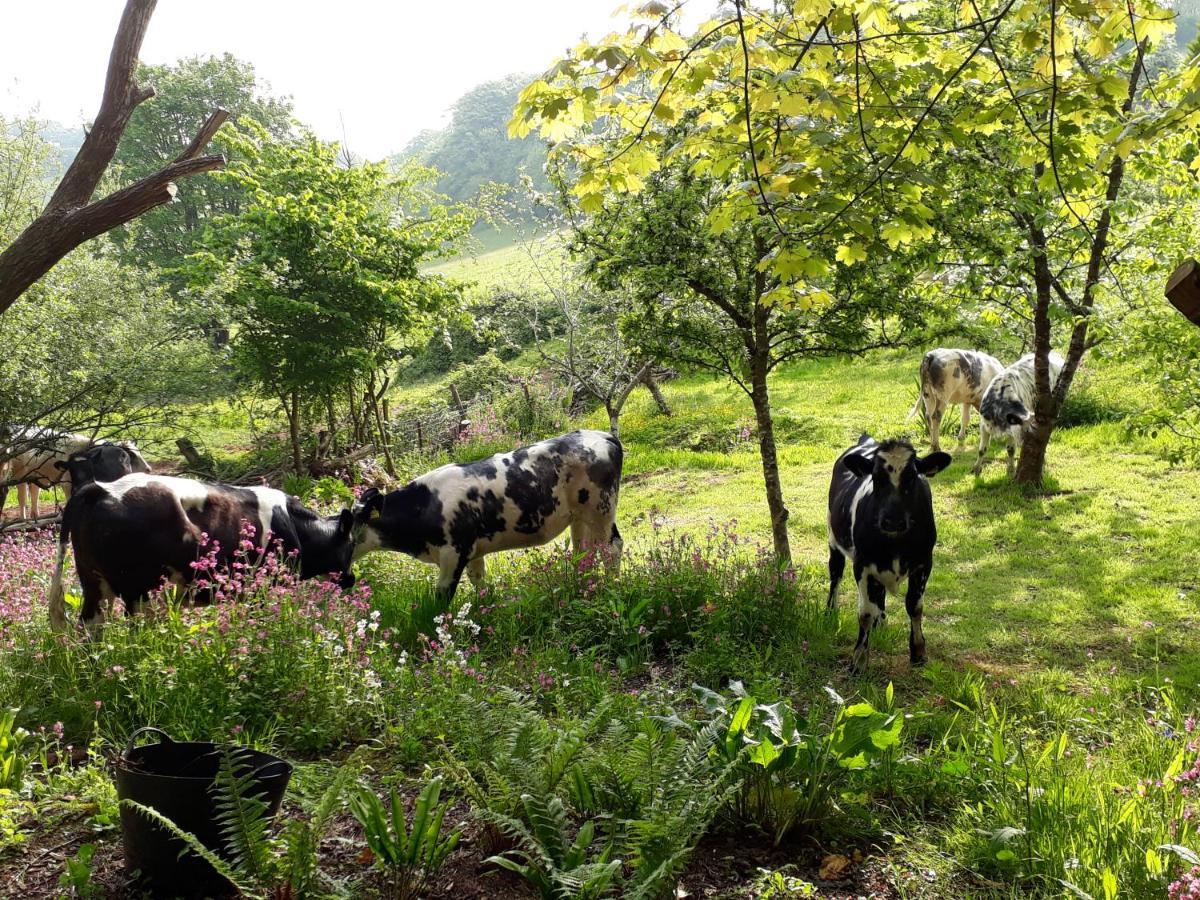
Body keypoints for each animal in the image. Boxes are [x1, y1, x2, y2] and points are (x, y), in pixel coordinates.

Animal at [0, 429, 150, 520]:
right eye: (132, 455)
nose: (148, 469)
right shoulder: (67, 484)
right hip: (19, 473)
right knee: (22, 496)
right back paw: (24, 519)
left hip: (36, 474)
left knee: (34, 492)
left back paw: (35, 516)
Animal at [46, 475, 355, 628]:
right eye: (350, 544)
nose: (351, 580)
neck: (293, 524)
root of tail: (101, 488)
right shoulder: (265, 589)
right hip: (139, 589)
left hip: (94, 584)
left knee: (90, 627)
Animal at [350, 429, 624, 600]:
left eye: (346, 528)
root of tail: (603, 435)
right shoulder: (473, 553)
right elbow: (480, 584)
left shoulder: (453, 554)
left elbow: (440, 599)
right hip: (580, 517)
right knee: (584, 551)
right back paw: (582, 585)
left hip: (601, 509)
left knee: (612, 548)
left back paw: (611, 586)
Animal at [830, 434, 950, 672]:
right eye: (876, 478)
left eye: (912, 477)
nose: (892, 521)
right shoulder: (862, 564)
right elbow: (865, 612)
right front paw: (859, 659)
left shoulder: (924, 561)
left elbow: (915, 606)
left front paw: (918, 651)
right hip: (833, 539)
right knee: (835, 575)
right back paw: (829, 613)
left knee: (880, 593)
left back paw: (881, 624)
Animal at [969, 352, 1065, 480]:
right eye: (1027, 429)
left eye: (1031, 429)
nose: (1028, 443)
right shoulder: (984, 426)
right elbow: (982, 450)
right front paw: (976, 470)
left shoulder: (1012, 431)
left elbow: (1010, 450)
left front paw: (1011, 470)